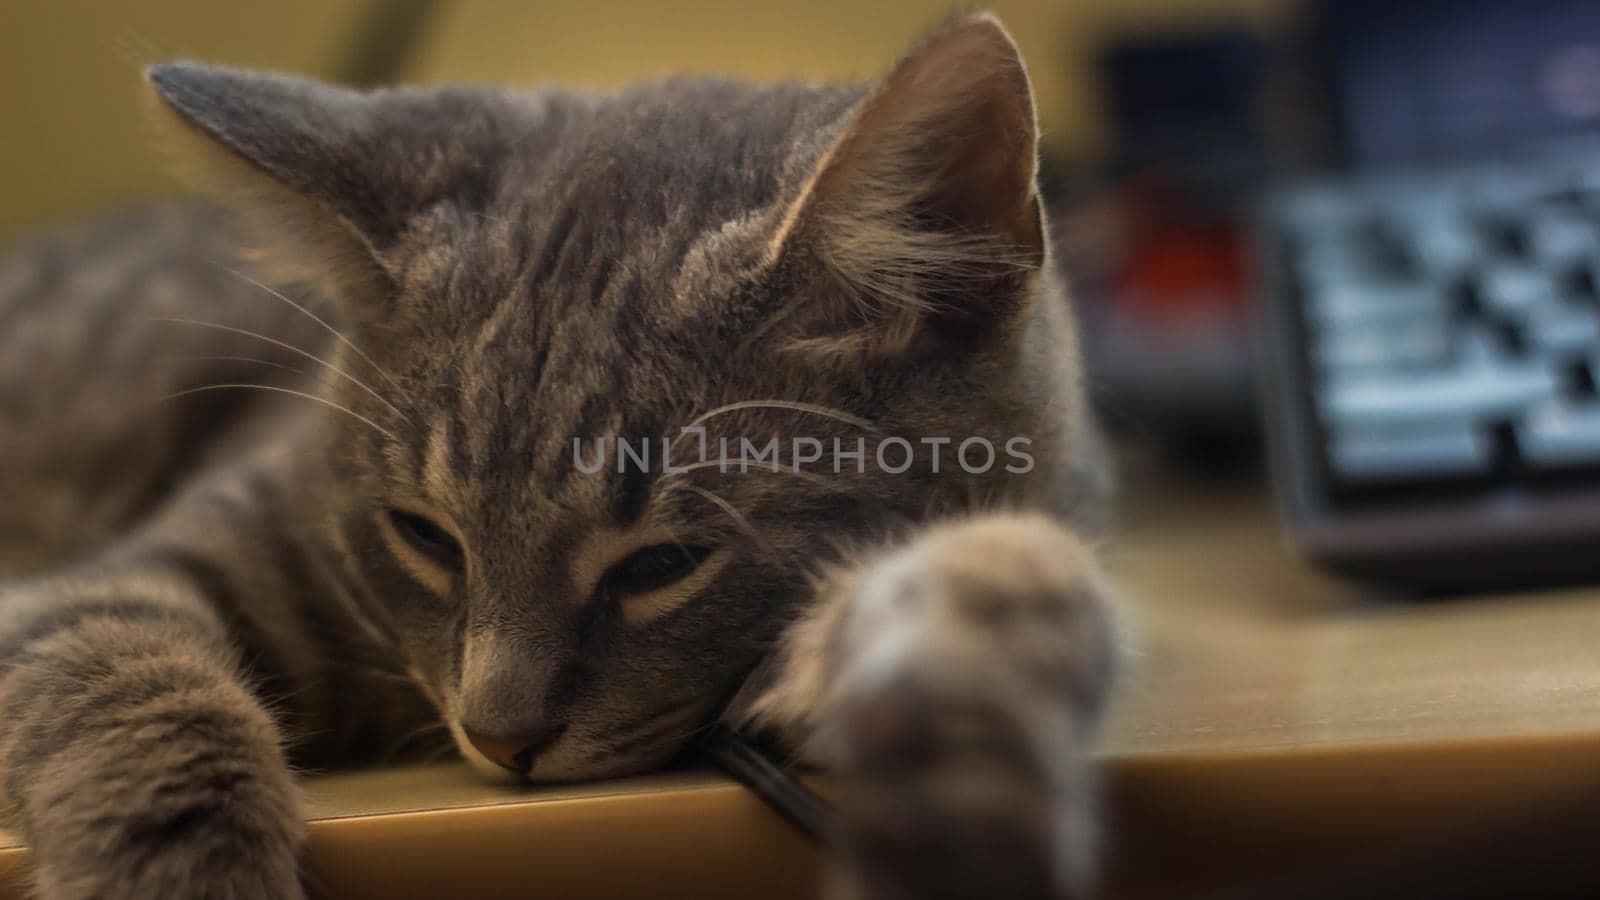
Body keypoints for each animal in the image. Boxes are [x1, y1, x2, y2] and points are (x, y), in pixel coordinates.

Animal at [0, 12, 1113, 896]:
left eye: (664, 563)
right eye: (423, 535)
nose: (500, 740)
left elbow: (1002, 595)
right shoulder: (114, 582)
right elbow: (138, 691)